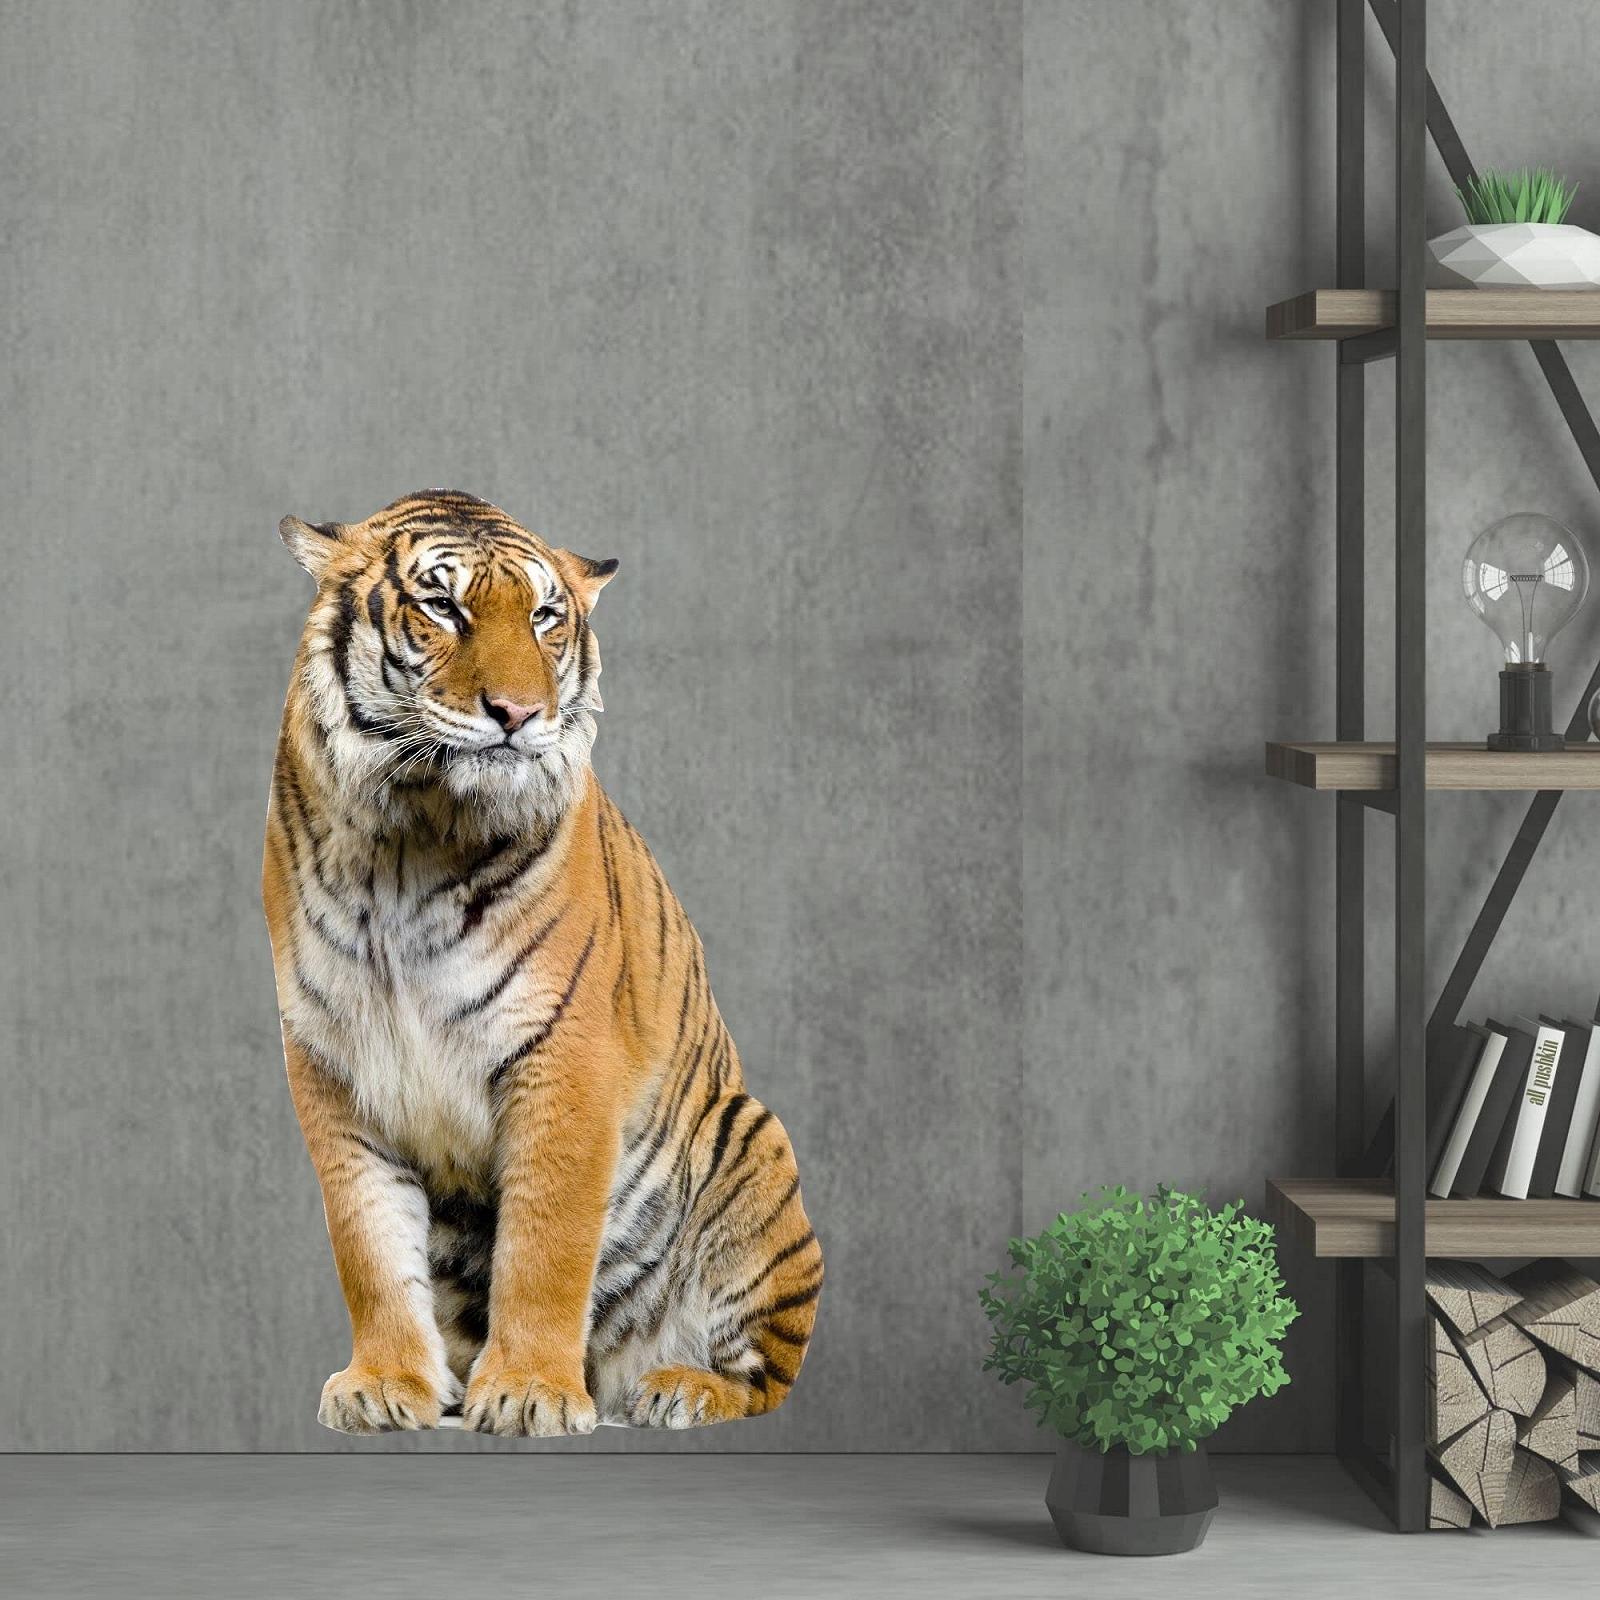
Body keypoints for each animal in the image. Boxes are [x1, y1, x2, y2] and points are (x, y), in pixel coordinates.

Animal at [261, 489, 821, 1436]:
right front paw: (386, 1383)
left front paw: (527, 1390)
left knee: (768, 1377)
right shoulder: (332, 1064)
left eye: (544, 617)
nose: (518, 714)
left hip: (751, 1138)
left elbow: (546, 1242)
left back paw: (678, 1388)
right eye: (443, 607)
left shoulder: (561, 1054)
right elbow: (369, 1243)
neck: (408, 839)